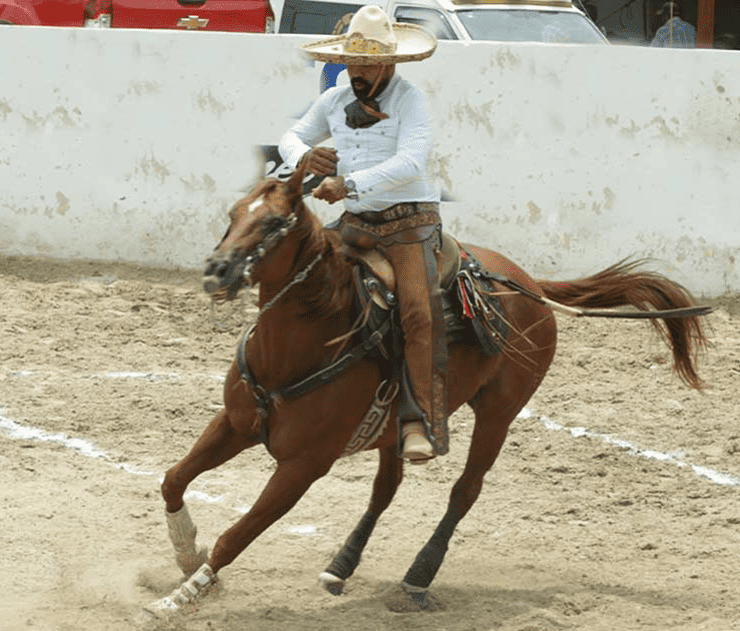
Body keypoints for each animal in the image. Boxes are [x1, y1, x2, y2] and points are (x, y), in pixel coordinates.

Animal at [142, 163, 709, 618]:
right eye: (234, 212)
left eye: (275, 223)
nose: (217, 271)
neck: (300, 345)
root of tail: (530, 285)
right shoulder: (236, 424)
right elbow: (173, 479)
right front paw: (186, 556)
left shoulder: (303, 466)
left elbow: (239, 533)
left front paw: (179, 597)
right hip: (397, 425)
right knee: (386, 488)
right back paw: (340, 566)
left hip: (500, 411)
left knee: (465, 490)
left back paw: (418, 576)